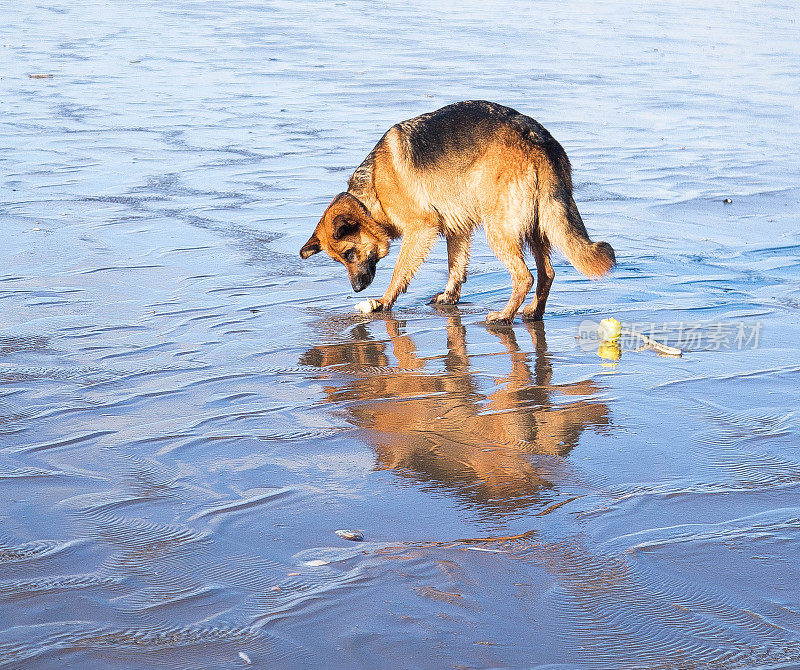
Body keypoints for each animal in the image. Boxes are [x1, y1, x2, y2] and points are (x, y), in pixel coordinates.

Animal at [296, 100, 616, 328]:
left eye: (349, 254)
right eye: (340, 260)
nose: (358, 289)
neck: (371, 192)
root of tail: (536, 139)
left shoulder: (421, 230)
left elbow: (400, 271)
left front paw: (384, 302)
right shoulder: (456, 228)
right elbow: (456, 266)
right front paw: (449, 298)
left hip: (499, 230)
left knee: (524, 277)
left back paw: (504, 316)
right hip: (540, 225)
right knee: (546, 273)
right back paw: (533, 312)